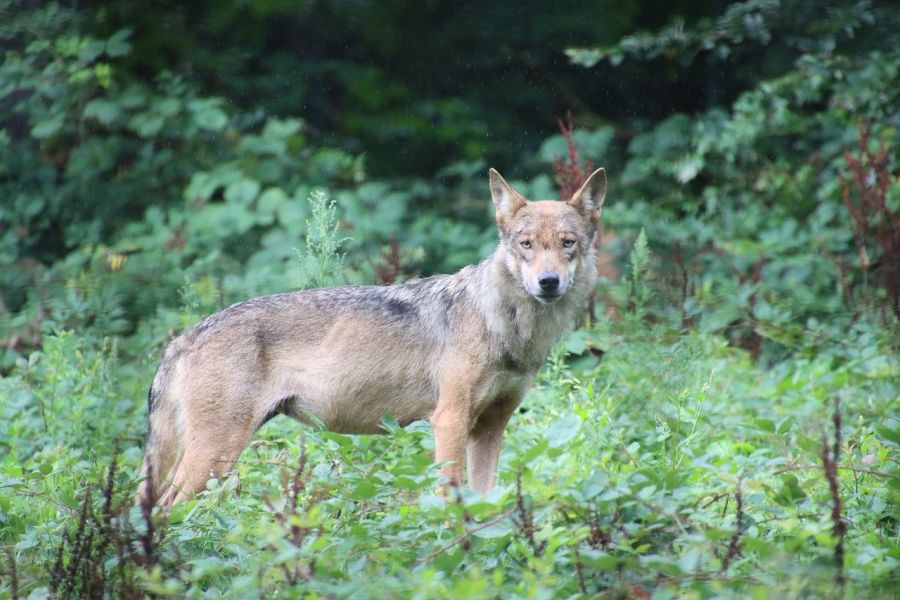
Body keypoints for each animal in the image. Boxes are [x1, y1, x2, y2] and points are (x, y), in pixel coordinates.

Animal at [137, 165, 608, 506]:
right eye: (527, 244)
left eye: (566, 243)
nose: (548, 282)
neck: (507, 326)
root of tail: (182, 338)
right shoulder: (450, 420)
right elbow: (449, 496)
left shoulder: (491, 427)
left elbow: (484, 501)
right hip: (213, 458)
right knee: (164, 511)